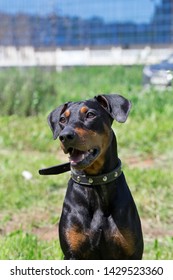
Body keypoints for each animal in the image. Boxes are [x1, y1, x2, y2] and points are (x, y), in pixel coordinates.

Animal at [46, 94, 143, 260]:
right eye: (62, 119)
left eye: (90, 115)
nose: (65, 136)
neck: (96, 182)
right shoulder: (72, 254)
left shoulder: (132, 253)